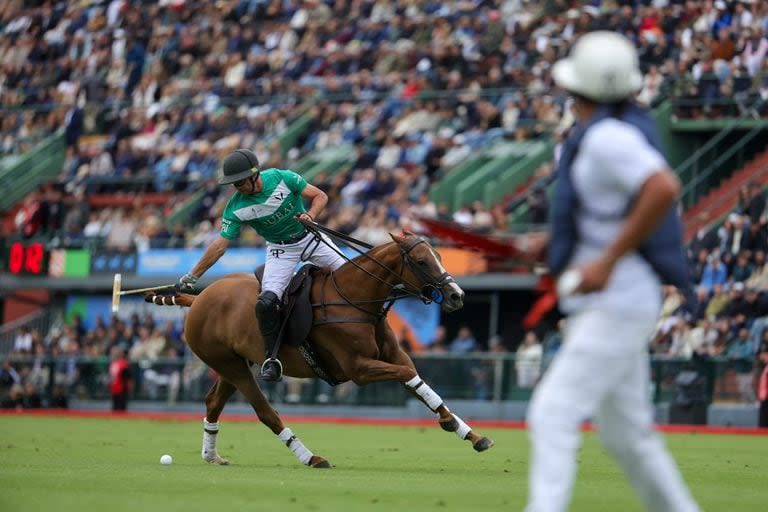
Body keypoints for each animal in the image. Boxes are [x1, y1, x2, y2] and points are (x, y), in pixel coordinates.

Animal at [147, 232, 496, 468]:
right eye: (422, 261)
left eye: (439, 256)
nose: (457, 295)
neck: (355, 299)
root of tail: (199, 298)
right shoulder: (358, 368)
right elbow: (408, 374)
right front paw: (453, 424)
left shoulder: (394, 355)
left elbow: (419, 383)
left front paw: (468, 432)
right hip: (231, 365)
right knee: (265, 412)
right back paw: (310, 456)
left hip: (234, 362)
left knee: (213, 400)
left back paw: (211, 454)